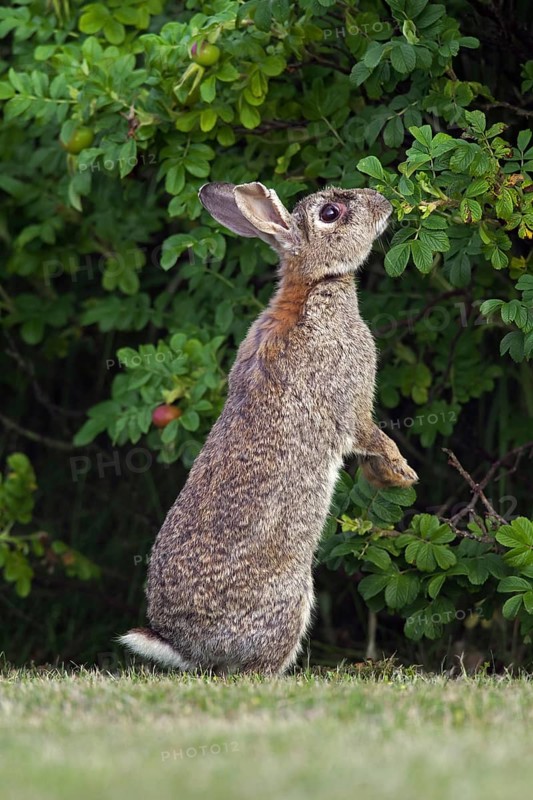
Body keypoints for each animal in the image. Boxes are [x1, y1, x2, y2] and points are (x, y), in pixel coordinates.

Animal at [119, 181, 418, 674]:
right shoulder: (352, 403)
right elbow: (370, 434)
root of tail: (184, 646)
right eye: (331, 213)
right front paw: (403, 472)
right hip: (291, 600)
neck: (315, 284)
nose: (384, 202)